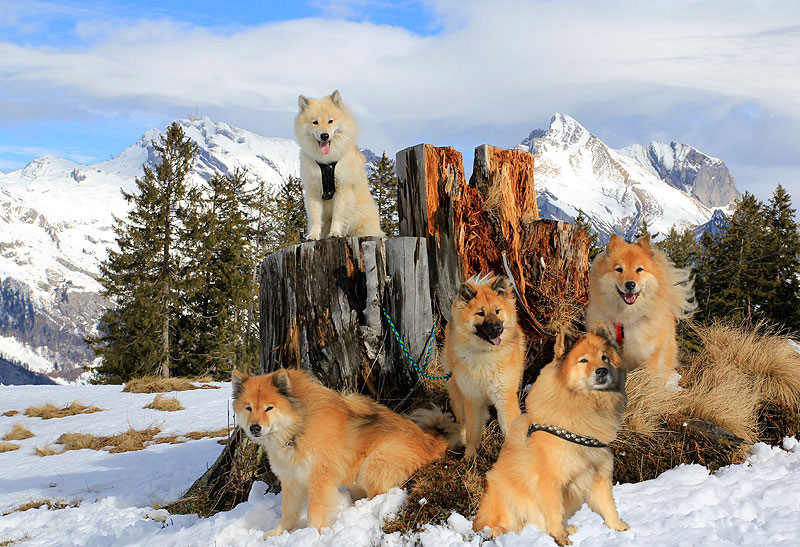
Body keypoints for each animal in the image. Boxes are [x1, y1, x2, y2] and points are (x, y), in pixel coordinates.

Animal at [231, 370, 456, 536]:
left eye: (269, 408)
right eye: (248, 408)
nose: (254, 428)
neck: (298, 427)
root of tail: (430, 442)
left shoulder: (319, 478)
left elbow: (314, 512)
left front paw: (310, 535)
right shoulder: (292, 480)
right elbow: (288, 512)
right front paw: (277, 533)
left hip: (372, 465)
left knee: (381, 493)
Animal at [294, 90, 384, 240]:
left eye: (330, 121)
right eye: (315, 122)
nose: (324, 135)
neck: (326, 163)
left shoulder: (342, 188)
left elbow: (338, 215)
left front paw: (335, 233)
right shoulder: (313, 190)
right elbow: (315, 216)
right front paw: (313, 235)